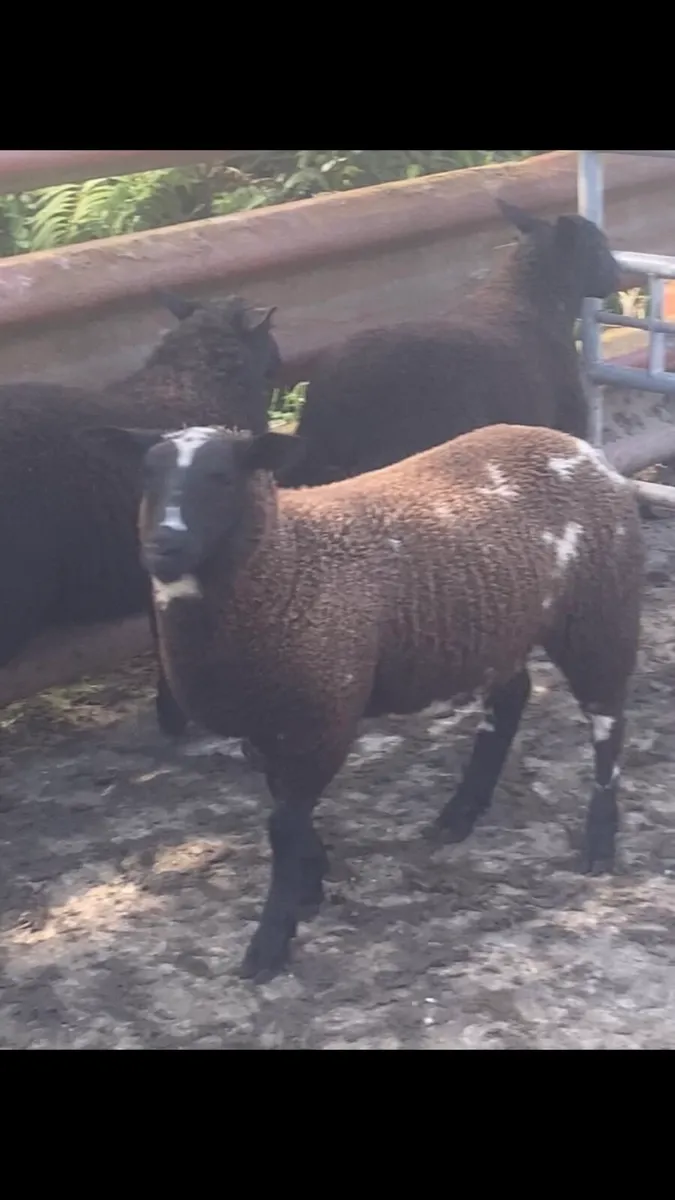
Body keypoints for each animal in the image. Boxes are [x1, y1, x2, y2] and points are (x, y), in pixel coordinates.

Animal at [89, 419, 643, 983]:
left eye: (222, 476)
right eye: (147, 474)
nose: (163, 546)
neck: (286, 560)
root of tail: (574, 445)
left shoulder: (325, 714)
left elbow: (282, 827)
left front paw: (271, 941)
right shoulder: (270, 722)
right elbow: (283, 808)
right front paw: (310, 883)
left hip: (599, 610)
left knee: (607, 723)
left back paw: (600, 842)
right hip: (504, 629)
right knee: (510, 700)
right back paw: (460, 813)